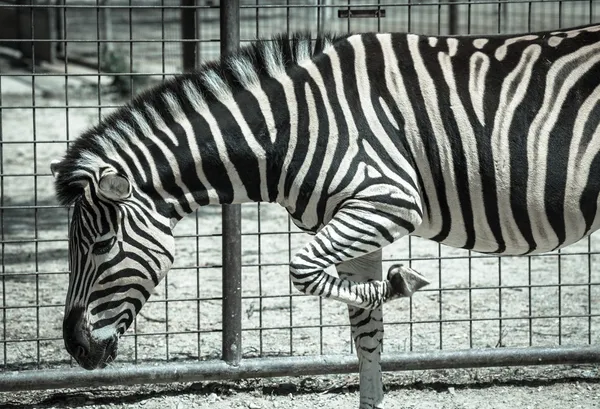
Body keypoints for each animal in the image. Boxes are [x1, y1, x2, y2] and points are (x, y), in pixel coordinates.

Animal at [51, 23, 600, 406]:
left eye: (102, 246)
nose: (75, 349)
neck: (288, 128)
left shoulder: (387, 200)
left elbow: (300, 270)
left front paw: (401, 281)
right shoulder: (362, 223)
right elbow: (366, 334)